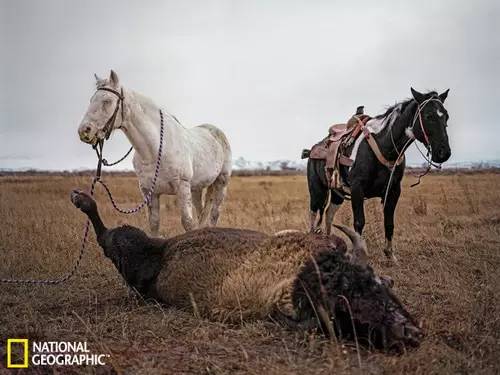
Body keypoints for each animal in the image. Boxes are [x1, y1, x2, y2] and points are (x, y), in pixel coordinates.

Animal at [77, 70, 232, 235]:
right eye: (91, 100)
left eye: (107, 101)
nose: (84, 131)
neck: (155, 150)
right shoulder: (149, 192)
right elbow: (154, 224)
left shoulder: (183, 188)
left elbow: (188, 223)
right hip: (197, 188)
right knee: (201, 210)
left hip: (221, 183)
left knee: (214, 214)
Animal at [306, 88, 452, 262]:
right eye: (429, 116)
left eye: (446, 116)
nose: (444, 153)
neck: (384, 145)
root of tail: (314, 148)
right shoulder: (357, 189)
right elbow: (359, 223)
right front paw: (358, 254)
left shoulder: (394, 190)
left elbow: (389, 223)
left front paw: (390, 255)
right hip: (317, 190)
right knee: (314, 214)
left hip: (337, 193)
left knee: (328, 214)